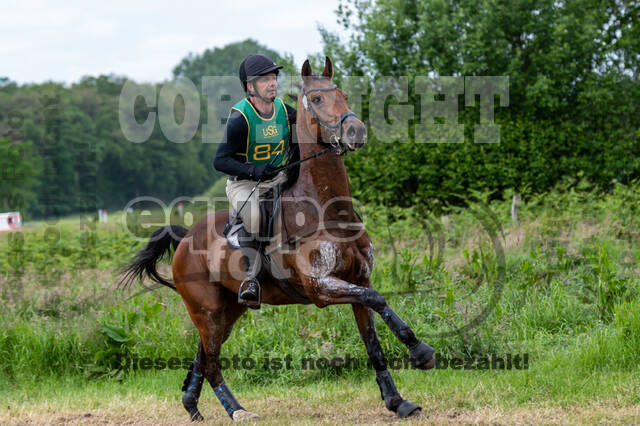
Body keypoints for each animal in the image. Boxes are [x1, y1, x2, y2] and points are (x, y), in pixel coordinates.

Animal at [121, 57, 436, 422]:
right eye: (316, 99)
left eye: (343, 94)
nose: (356, 131)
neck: (329, 212)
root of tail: (185, 238)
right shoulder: (320, 288)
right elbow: (379, 299)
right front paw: (421, 351)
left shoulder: (358, 279)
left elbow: (373, 340)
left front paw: (398, 401)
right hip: (206, 309)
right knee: (212, 362)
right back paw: (238, 411)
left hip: (227, 310)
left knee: (204, 353)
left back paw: (191, 403)